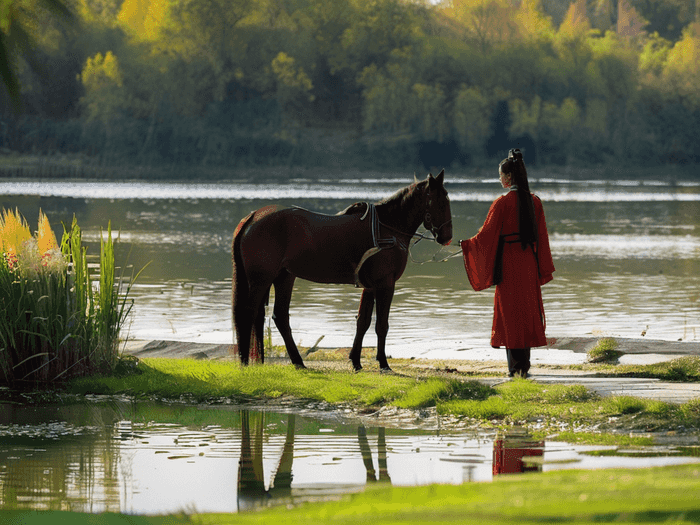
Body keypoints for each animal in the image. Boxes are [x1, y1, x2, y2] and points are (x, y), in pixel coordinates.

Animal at [231, 170, 454, 370]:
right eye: (440, 201)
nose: (447, 236)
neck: (386, 228)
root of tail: (253, 216)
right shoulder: (385, 284)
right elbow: (381, 325)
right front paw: (383, 363)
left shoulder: (370, 287)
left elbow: (363, 322)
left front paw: (356, 360)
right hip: (261, 279)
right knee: (249, 313)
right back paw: (245, 361)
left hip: (283, 277)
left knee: (279, 317)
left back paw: (296, 362)